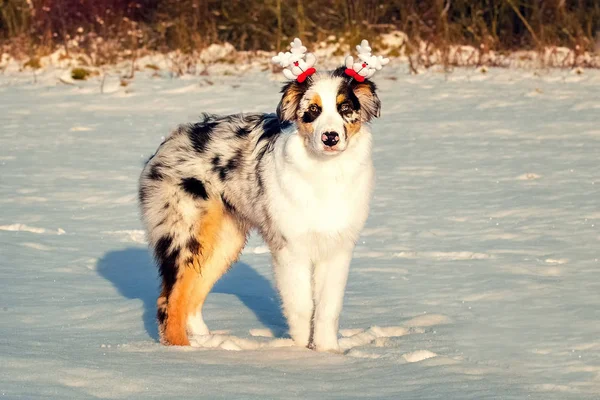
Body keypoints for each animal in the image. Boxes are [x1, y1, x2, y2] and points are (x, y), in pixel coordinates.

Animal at [139, 41, 386, 354]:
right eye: (313, 110)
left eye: (345, 108)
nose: (330, 137)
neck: (324, 173)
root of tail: (166, 144)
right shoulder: (290, 248)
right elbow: (301, 306)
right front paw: (300, 353)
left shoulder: (337, 248)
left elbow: (328, 308)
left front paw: (328, 353)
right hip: (186, 235)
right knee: (169, 300)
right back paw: (181, 353)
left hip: (224, 242)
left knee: (191, 297)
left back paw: (207, 344)